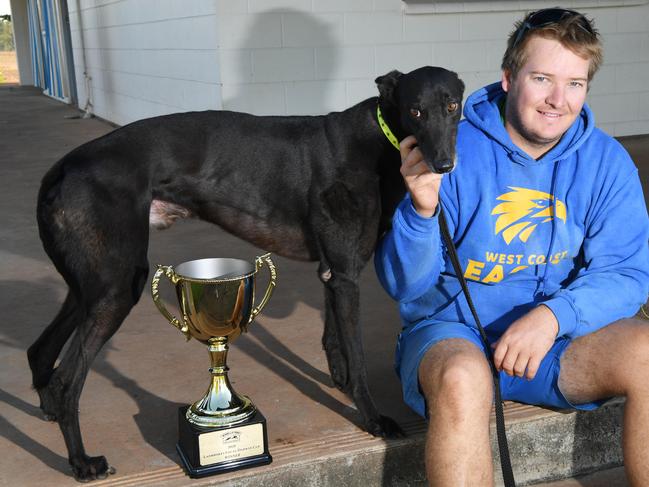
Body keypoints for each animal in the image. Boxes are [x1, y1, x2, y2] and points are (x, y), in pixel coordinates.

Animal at [30, 66, 464, 482]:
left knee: (41, 350)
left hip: (91, 285)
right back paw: (81, 462)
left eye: (452, 105)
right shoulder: (346, 273)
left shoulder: (333, 272)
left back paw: (50, 413)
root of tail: (62, 168)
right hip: (118, 285)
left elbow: (334, 341)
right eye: (415, 111)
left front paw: (339, 384)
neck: (376, 136)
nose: (444, 164)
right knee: (67, 380)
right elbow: (356, 358)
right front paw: (373, 419)